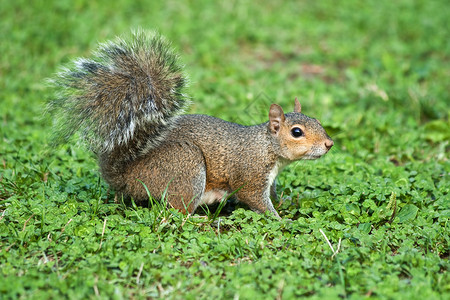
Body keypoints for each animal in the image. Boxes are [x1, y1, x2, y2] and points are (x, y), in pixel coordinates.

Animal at [49, 30, 332, 219]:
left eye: (317, 120)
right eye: (297, 132)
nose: (329, 144)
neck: (267, 147)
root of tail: (126, 176)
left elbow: (272, 194)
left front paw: (286, 201)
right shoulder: (250, 175)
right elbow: (255, 200)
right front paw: (279, 220)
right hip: (186, 165)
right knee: (177, 212)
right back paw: (200, 220)